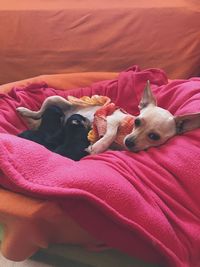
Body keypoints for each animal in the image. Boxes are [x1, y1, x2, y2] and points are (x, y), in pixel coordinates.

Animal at [16, 82, 200, 155]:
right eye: (137, 121)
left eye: (154, 137)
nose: (129, 142)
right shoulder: (111, 120)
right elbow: (110, 133)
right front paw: (98, 146)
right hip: (53, 99)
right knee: (38, 112)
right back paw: (25, 111)